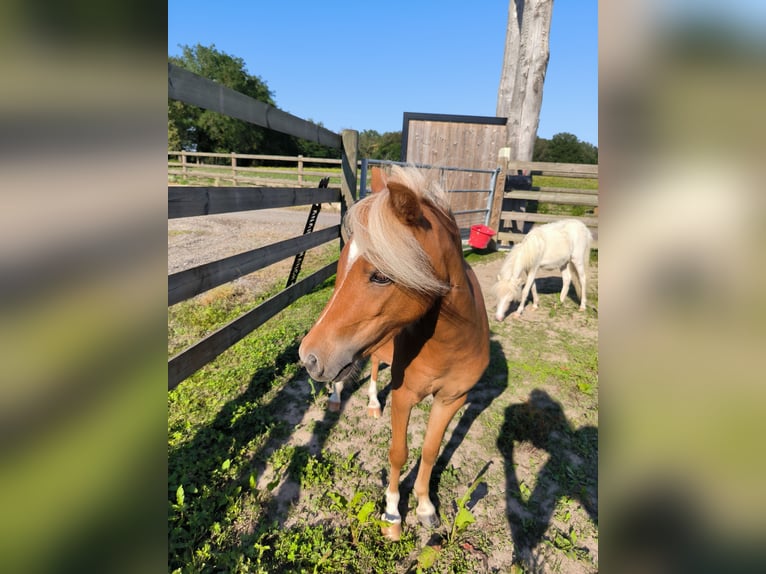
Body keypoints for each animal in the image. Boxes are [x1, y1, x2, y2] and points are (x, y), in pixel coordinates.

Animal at [300, 165, 492, 540]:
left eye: (380, 276)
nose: (308, 357)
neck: (450, 344)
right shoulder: (404, 397)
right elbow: (398, 453)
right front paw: (392, 514)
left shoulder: (452, 400)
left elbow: (430, 451)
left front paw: (426, 507)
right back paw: (344, 398)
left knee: (374, 361)